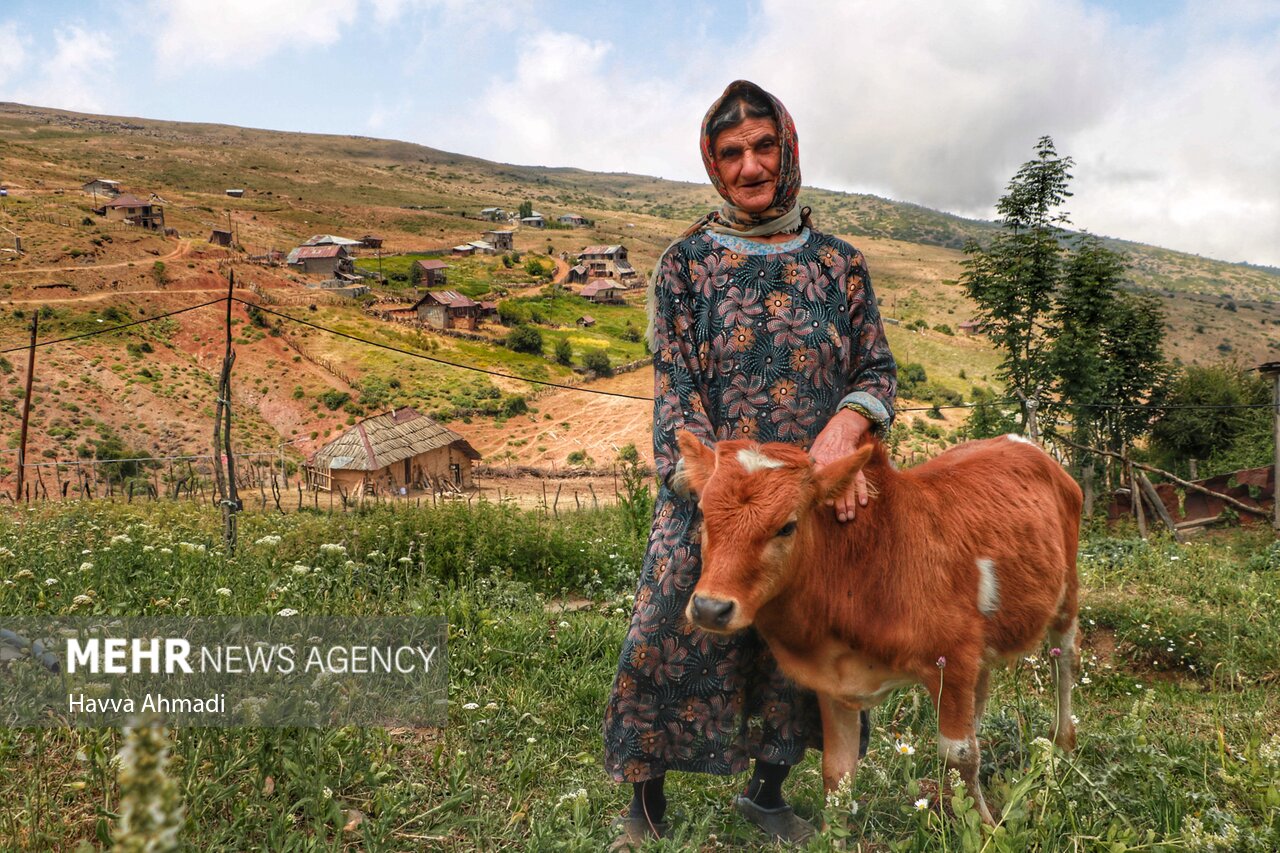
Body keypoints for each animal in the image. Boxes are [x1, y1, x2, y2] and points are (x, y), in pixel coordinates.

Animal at [680, 435, 1080, 819]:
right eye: (704, 516)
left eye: (786, 526)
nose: (710, 608)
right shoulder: (833, 681)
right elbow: (837, 773)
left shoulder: (952, 659)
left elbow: (961, 756)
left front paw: (984, 825)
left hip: (1066, 598)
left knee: (1063, 664)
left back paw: (1061, 746)